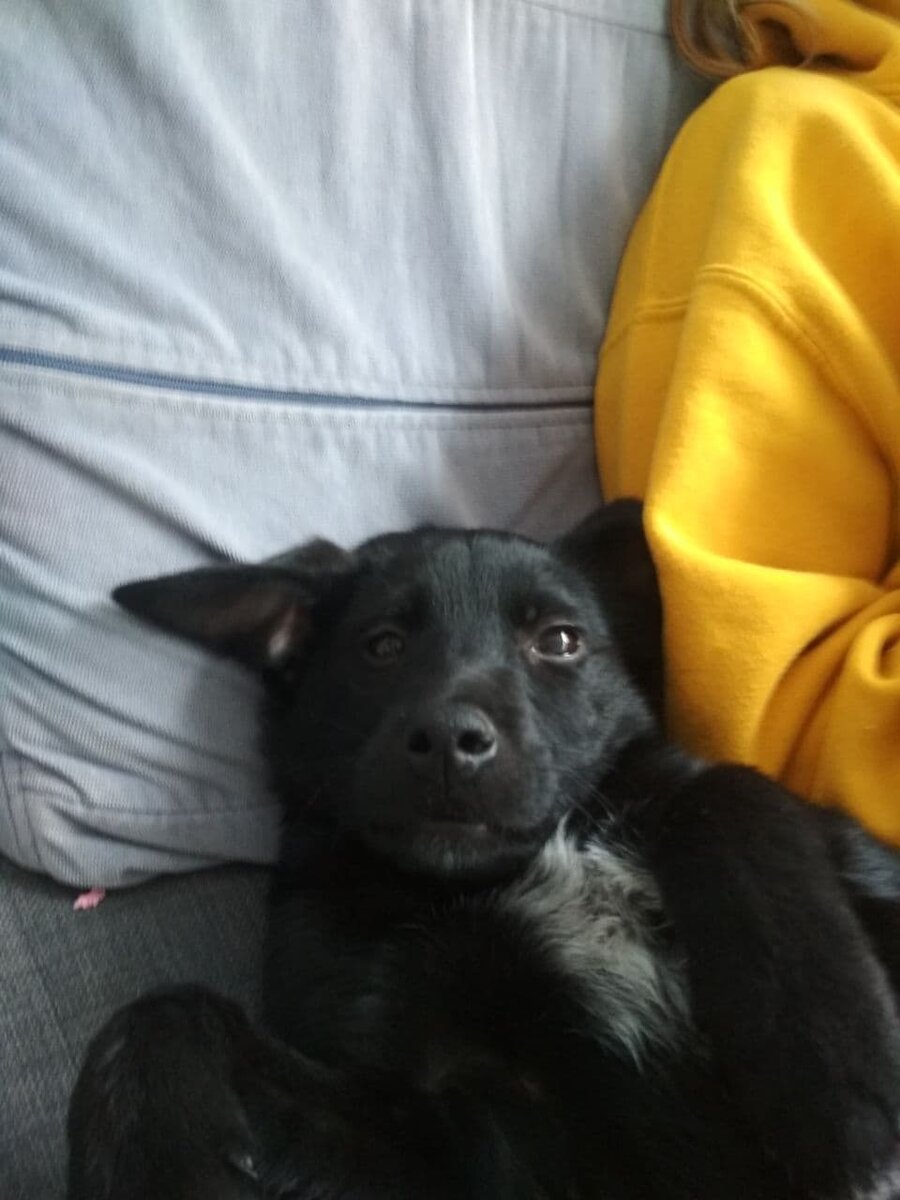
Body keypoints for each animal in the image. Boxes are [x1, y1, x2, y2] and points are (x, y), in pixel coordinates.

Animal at [67, 500, 900, 1199]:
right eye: (381, 645)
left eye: (560, 641)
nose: (449, 742)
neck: (505, 873)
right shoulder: (447, 1132)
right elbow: (153, 1013)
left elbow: (727, 791)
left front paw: (842, 1098)